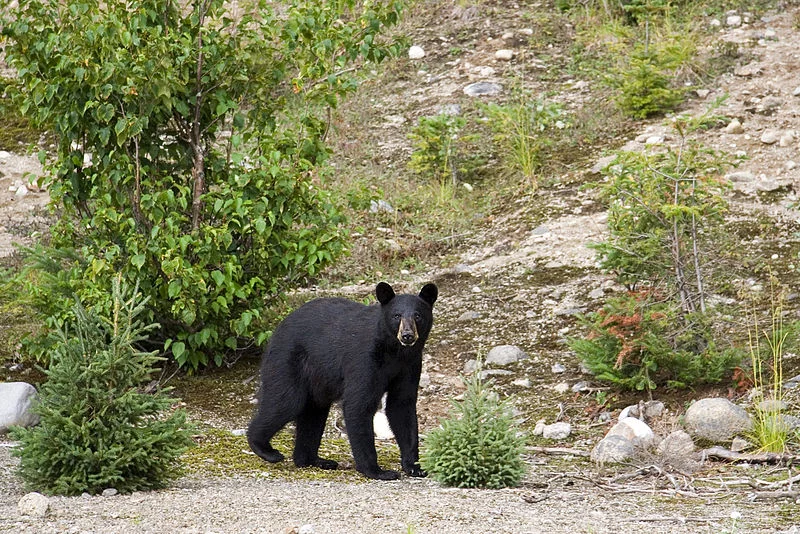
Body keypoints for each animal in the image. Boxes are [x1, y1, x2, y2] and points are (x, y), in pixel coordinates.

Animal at [248, 284, 438, 482]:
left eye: (417, 315)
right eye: (397, 316)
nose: (407, 335)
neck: (394, 351)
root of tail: (277, 330)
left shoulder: (410, 364)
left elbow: (402, 406)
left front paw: (415, 467)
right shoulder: (364, 360)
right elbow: (359, 404)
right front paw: (377, 471)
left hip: (317, 381)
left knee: (314, 412)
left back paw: (313, 460)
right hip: (288, 361)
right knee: (286, 402)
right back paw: (265, 449)